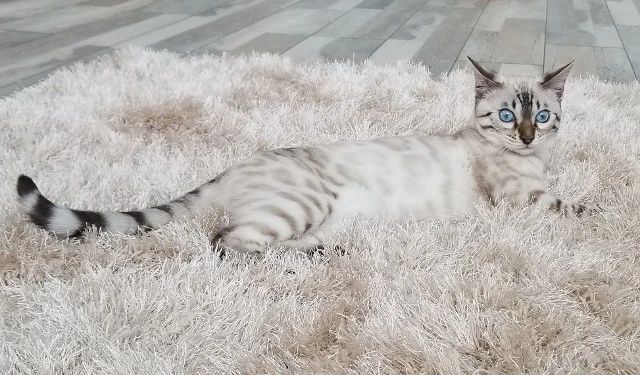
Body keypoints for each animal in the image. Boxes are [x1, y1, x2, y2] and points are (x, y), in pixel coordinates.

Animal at [16, 56, 596, 256]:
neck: (532, 161)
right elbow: (580, 208)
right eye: (508, 116)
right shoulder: (526, 200)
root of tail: (233, 168)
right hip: (298, 205)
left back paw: (323, 249)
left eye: (543, 116)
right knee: (226, 242)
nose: (528, 137)